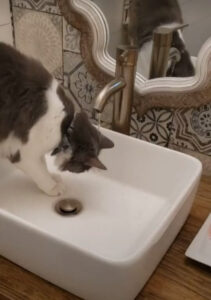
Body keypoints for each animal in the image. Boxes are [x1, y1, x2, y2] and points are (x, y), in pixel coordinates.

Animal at [0, 42, 113, 197]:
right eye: (80, 169)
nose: (70, 170)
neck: (66, 127)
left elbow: (42, 164)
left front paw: (53, 177)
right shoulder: (23, 152)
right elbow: (39, 172)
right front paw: (53, 187)